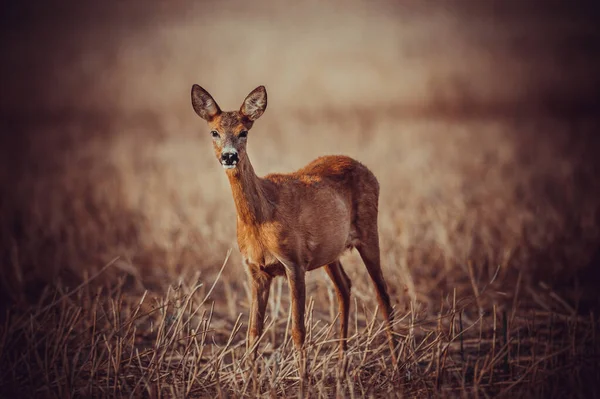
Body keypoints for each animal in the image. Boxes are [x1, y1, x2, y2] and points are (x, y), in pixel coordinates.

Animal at [192, 85, 398, 366]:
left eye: (244, 132)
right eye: (214, 132)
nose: (229, 156)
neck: (260, 218)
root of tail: (368, 171)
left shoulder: (294, 262)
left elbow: (298, 330)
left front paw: (304, 377)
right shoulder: (254, 270)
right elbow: (253, 332)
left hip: (369, 231)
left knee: (383, 295)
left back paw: (398, 366)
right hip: (329, 251)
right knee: (344, 287)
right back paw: (342, 366)